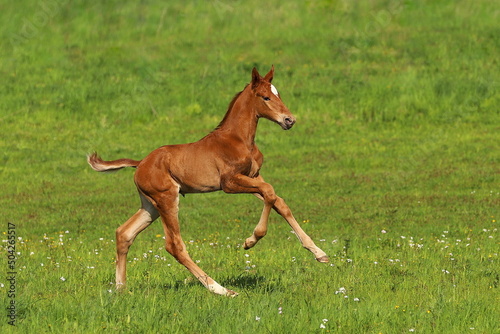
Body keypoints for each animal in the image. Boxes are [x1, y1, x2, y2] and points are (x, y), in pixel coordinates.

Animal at [88, 66, 328, 296]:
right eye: (265, 97)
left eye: (279, 94)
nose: (289, 120)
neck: (238, 139)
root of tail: (140, 163)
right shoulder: (229, 183)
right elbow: (269, 192)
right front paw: (250, 241)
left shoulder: (252, 177)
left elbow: (279, 201)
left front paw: (319, 253)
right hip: (166, 199)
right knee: (174, 245)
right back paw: (221, 290)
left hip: (151, 205)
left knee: (124, 233)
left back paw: (121, 288)